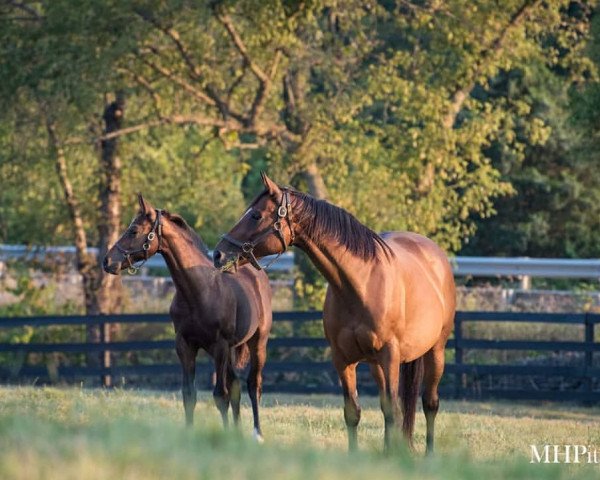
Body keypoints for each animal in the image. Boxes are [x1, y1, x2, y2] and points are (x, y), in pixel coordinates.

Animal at [103, 193, 272, 440]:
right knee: (235, 386)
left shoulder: (220, 346)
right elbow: (189, 395)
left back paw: (257, 434)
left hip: (256, 342)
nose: (107, 262)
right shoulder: (185, 346)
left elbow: (219, 395)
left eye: (133, 230)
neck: (199, 290)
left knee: (253, 385)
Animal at [216, 173, 454, 454]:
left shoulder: (389, 356)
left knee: (429, 403)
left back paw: (429, 453)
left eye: (255, 215)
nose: (218, 254)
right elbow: (354, 412)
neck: (362, 284)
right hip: (376, 365)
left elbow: (394, 412)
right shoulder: (343, 359)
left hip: (435, 351)